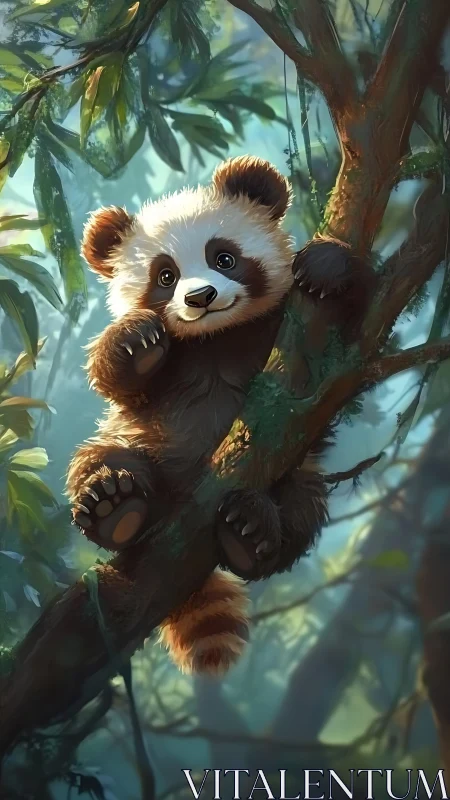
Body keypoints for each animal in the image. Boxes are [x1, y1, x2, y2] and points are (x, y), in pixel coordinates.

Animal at [66, 156, 329, 676]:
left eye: (223, 257)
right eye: (165, 275)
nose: (200, 297)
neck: (214, 337)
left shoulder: (282, 330)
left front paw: (328, 266)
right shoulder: (155, 387)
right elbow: (114, 378)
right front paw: (135, 341)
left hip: (297, 466)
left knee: (301, 509)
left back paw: (250, 531)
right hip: (138, 442)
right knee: (100, 460)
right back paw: (114, 506)